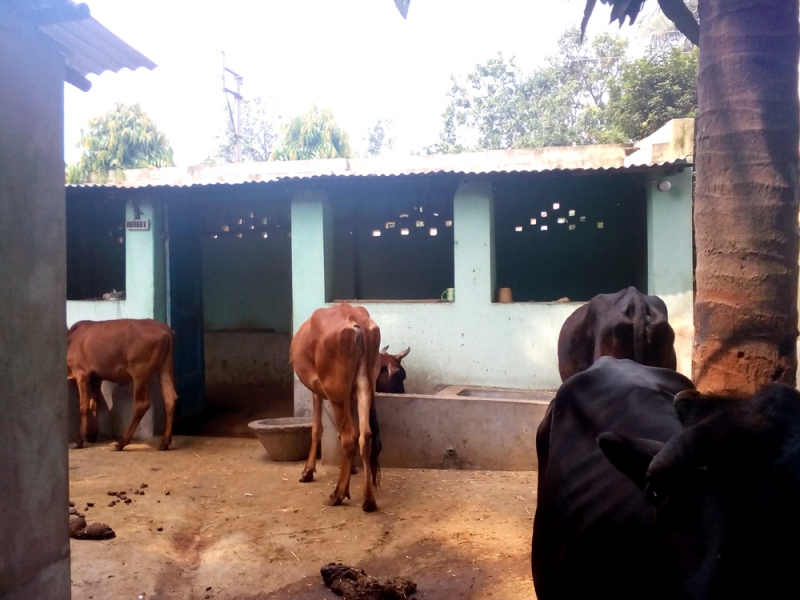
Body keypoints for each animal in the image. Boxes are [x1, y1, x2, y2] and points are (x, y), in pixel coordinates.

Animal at [67, 319, 179, 451]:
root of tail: (163, 328)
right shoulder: (96, 378)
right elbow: (94, 405)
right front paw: (92, 436)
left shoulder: (82, 375)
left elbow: (84, 407)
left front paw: (80, 440)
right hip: (164, 367)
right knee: (170, 399)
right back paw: (165, 442)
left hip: (140, 372)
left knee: (142, 404)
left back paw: (122, 442)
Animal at [290, 303, 383, 512]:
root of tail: (354, 317)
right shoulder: (350, 395)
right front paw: (353, 469)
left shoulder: (316, 389)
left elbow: (317, 428)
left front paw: (307, 471)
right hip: (365, 385)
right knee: (364, 435)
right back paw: (368, 500)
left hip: (335, 392)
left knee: (349, 437)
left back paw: (338, 494)